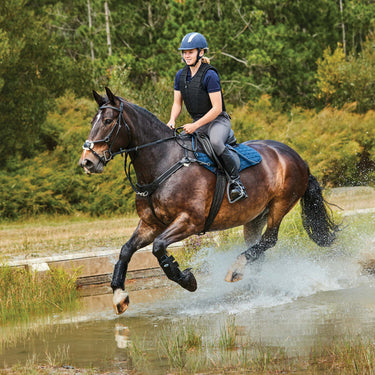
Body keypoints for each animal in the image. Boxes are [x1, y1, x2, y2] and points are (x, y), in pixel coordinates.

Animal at [78, 87, 340, 314]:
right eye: (92, 122)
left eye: (108, 121)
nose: (87, 162)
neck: (163, 163)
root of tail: (296, 157)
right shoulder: (150, 225)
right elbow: (125, 250)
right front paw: (119, 296)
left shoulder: (189, 222)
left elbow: (159, 247)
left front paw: (187, 279)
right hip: (255, 216)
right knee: (259, 250)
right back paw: (251, 288)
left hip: (280, 205)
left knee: (269, 240)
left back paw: (235, 269)